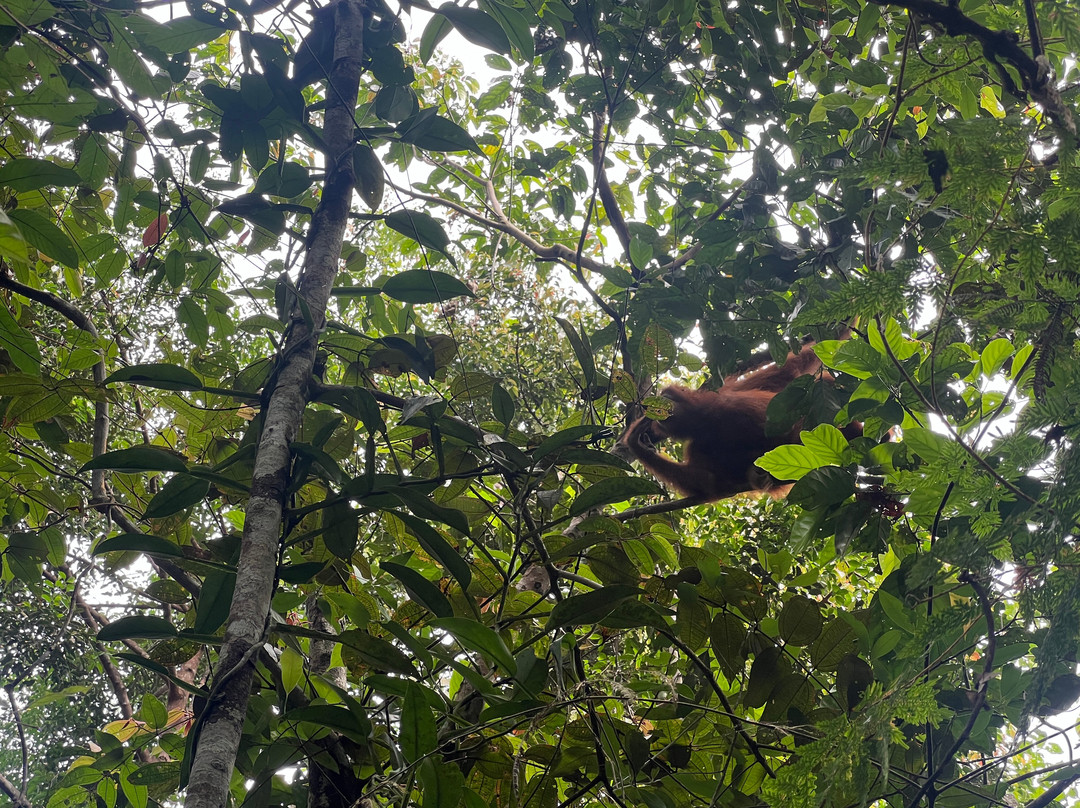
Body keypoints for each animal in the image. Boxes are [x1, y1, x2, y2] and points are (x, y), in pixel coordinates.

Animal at [618, 340, 860, 504]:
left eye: (665, 399)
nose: (653, 409)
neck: (703, 424)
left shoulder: (726, 404)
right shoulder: (700, 443)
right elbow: (708, 482)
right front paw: (636, 443)